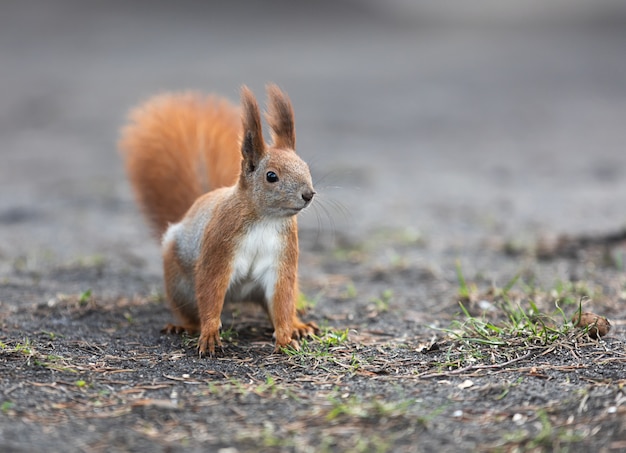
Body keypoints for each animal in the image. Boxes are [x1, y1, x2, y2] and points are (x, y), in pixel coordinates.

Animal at [118, 85, 316, 354]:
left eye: (306, 167)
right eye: (271, 176)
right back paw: (185, 326)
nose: (308, 194)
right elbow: (211, 290)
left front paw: (285, 339)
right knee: (193, 311)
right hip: (181, 288)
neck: (265, 219)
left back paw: (299, 325)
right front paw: (210, 334)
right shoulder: (219, 248)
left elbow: (282, 299)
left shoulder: (283, 258)